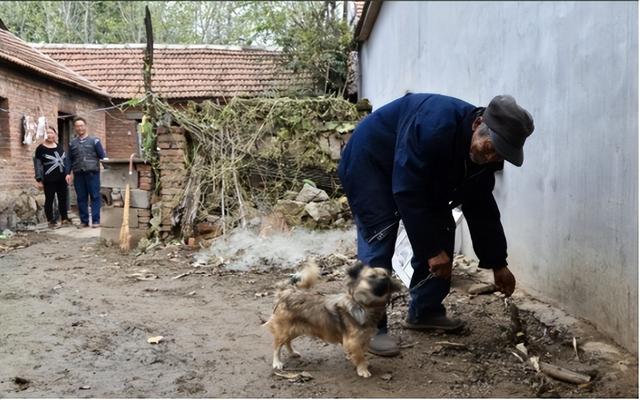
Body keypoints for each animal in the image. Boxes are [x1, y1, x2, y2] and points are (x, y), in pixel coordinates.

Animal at [262, 260, 400, 378]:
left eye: (385, 274)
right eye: (371, 277)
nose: (386, 279)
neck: (363, 306)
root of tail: (286, 292)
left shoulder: (364, 338)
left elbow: (362, 352)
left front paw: (362, 363)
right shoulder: (353, 341)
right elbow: (360, 355)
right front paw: (362, 369)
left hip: (295, 329)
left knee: (287, 342)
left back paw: (292, 353)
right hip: (285, 329)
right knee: (277, 345)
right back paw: (277, 362)